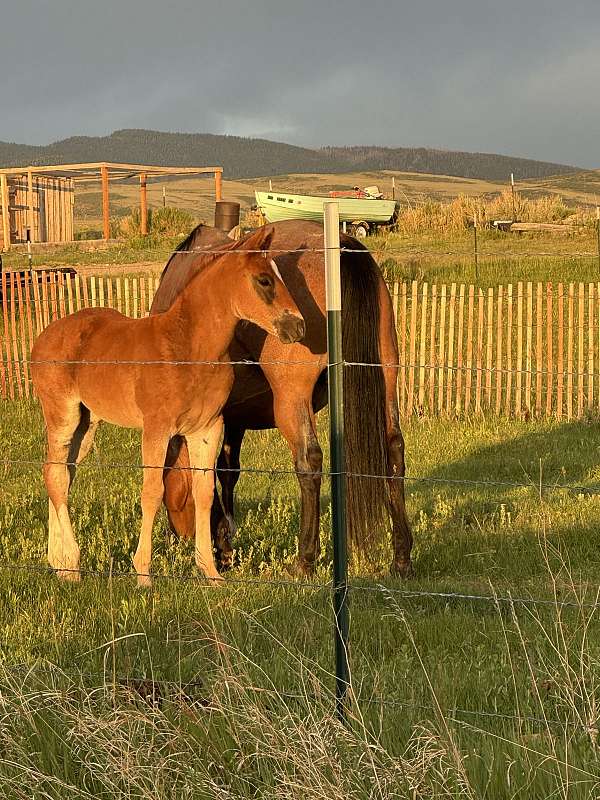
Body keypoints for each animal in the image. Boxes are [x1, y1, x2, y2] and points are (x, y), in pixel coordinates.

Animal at [31, 228, 304, 584]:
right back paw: (72, 563)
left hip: (87, 423)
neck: (188, 347)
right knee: (55, 476)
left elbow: (204, 493)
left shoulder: (207, 429)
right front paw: (143, 574)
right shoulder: (157, 429)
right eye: (264, 280)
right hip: (62, 413)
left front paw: (211, 572)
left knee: (61, 474)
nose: (298, 327)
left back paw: (61, 563)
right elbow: (152, 492)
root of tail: (44, 336)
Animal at [151, 219, 412, 576]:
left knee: (309, 461)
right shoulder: (235, 416)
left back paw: (304, 560)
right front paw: (226, 541)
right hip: (386, 377)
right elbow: (227, 471)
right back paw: (402, 557)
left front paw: (221, 543)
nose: (180, 534)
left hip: (291, 399)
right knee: (394, 452)